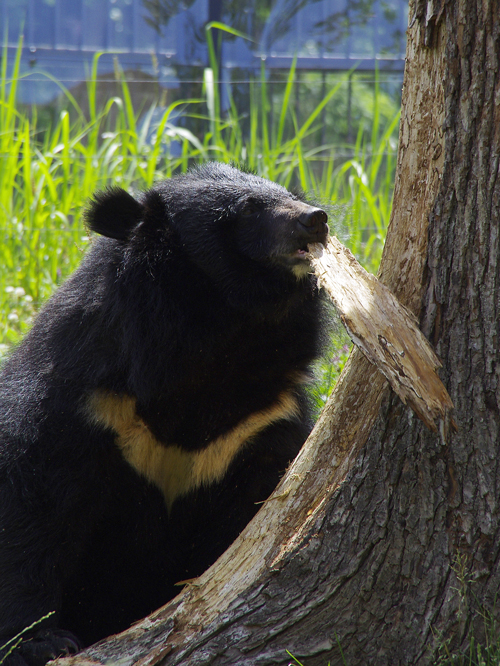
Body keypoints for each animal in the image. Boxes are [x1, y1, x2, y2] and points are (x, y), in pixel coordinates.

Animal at [0, 162, 328, 664]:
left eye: (290, 196)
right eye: (248, 210)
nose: (316, 219)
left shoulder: (262, 422)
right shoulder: (83, 404)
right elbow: (33, 508)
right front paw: (43, 641)